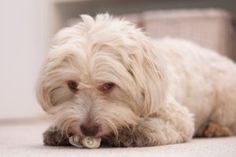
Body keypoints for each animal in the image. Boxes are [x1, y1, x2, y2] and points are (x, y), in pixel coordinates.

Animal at [36, 13, 236, 147]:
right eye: (72, 85)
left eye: (109, 86)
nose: (88, 129)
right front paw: (57, 130)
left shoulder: (179, 119)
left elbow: (155, 128)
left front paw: (128, 133)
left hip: (226, 100)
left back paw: (215, 129)